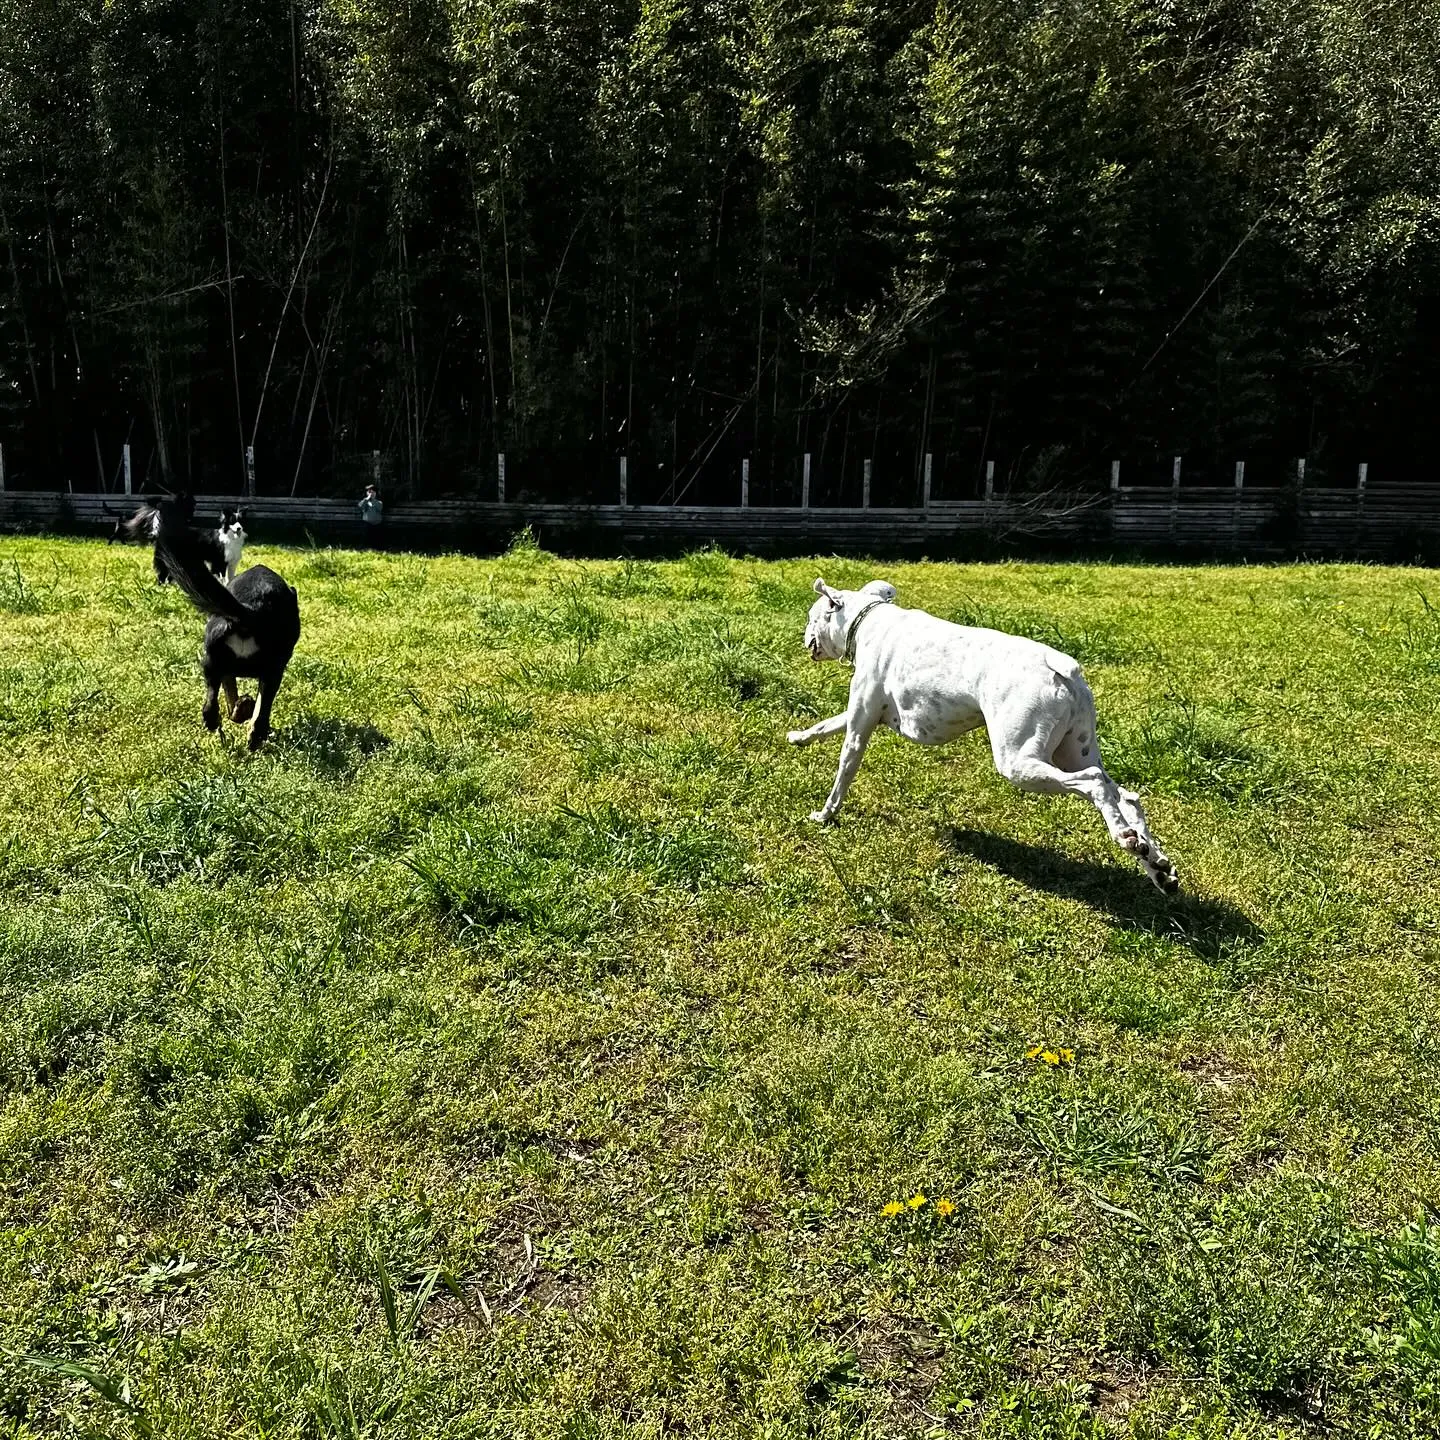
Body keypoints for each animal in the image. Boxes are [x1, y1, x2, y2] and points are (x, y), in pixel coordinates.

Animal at [150, 498, 299, 754]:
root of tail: (251, 609)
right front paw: (246, 707)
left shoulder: (227, 670)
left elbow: (232, 701)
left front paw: (240, 708)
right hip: (272, 671)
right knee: (260, 718)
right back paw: (254, 739)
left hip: (211, 660)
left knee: (210, 705)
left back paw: (217, 721)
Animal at [789, 578, 1180, 892]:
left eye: (810, 616)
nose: (803, 637)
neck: (868, 620)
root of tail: (1060, 667)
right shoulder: (862, 715)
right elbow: (825, 725)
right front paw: (798, 737)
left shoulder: (860, 728)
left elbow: (843, 771)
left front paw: (824, 815)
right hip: (1073, 750)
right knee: (1126, 796)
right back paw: (1156, 865)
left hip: (1019, 761)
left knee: (1094, 782)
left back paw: (1125, 837)